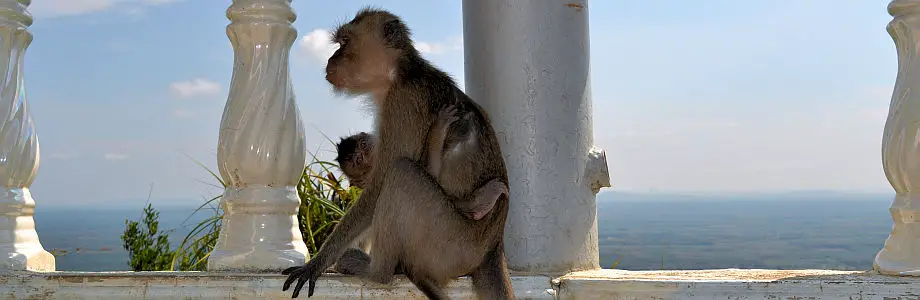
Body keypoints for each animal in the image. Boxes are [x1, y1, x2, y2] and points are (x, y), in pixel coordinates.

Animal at [338, 105, 506, 220]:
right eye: (358, 161)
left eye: (363, 145)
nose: (364, 153)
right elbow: (430, 174)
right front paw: (437, 131)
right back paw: (480, 204)